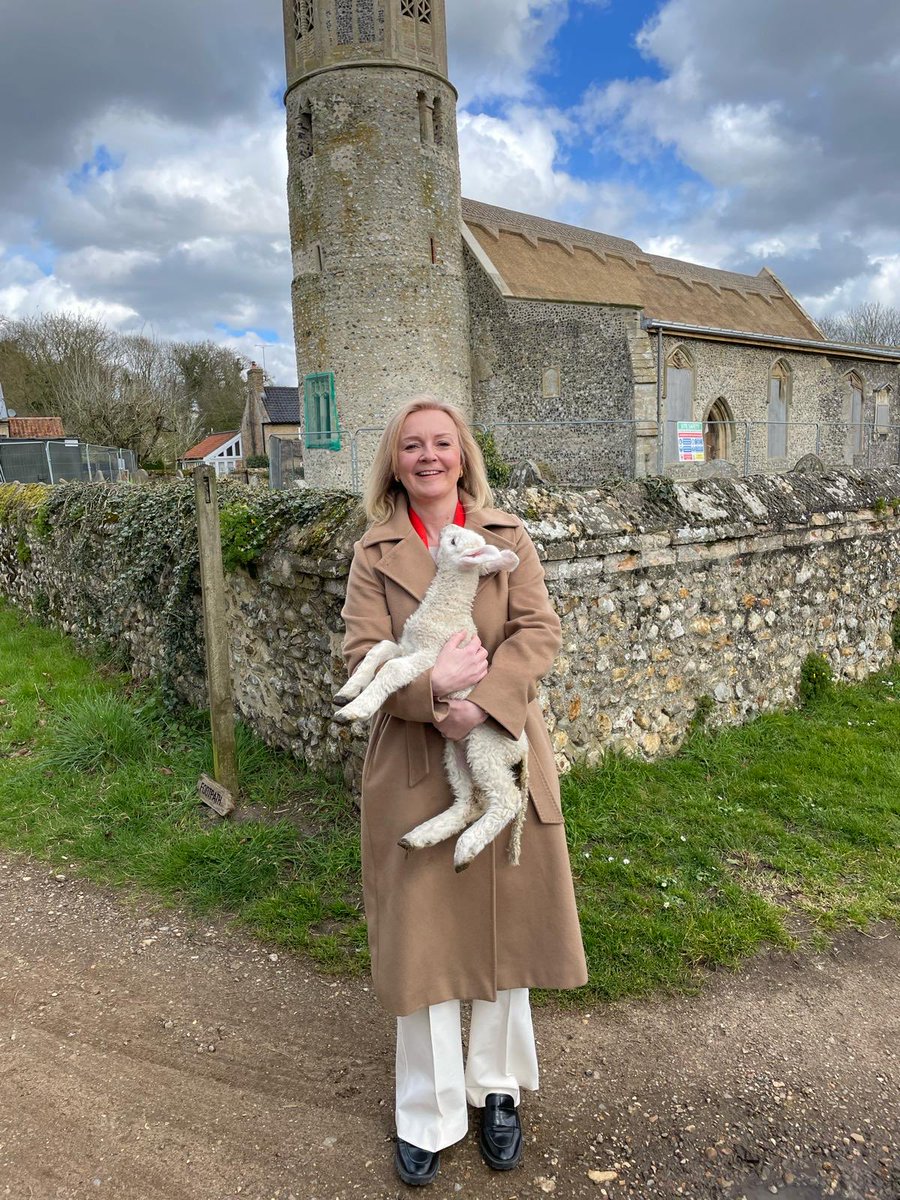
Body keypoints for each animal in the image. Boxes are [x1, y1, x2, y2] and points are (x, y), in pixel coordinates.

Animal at [336, 525, 532, 873]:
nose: (445, 528)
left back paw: (465, 849)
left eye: (453, 541)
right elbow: (378, 650)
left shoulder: (430, 657)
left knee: (506, 800)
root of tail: (522, 749)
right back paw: (419, 838)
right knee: (471, 802)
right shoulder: (407, 646)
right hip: (456, 753)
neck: (445, 608)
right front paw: (348, 691)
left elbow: (392, 669)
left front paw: (356, 710)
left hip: (487, 747)